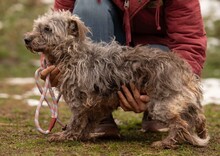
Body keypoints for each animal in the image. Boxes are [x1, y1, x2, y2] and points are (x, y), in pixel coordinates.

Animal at [24, 11, 210, 149]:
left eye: (47, 29)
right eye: (37, 26)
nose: (26, 39)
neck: (74, 55)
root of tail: (183, 68)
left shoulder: (79, 101)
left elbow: (76, 121)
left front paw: (66, 135)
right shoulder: (96, 105)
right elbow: (88, 122)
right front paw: (83, 135)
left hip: (160, 103)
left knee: (180, 123)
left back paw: (166, 142)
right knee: (198, 117)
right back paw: (199, 133)